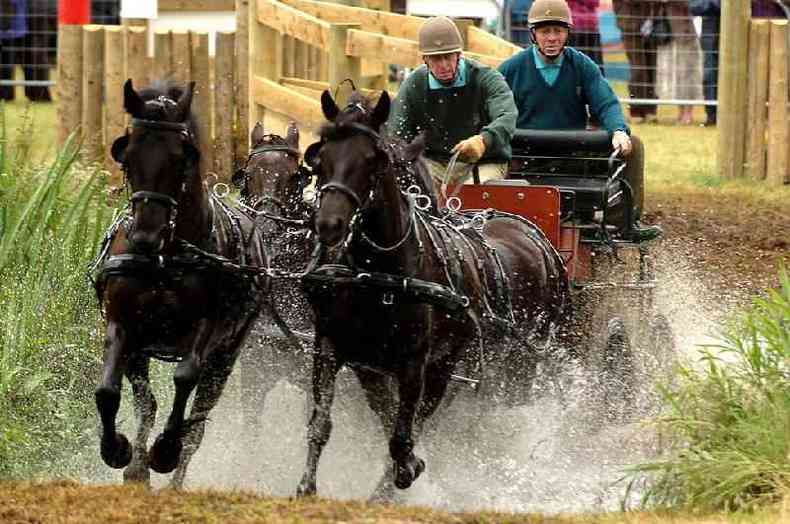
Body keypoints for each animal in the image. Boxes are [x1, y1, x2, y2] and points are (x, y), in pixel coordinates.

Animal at [93, 80, 270, 490]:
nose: (145, 236)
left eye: (180, 159)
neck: (165, 260)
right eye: (128, 156)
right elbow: (112, 393)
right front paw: (120, 452)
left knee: (198, 419)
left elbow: (184, 379)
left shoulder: (208, 329)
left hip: (228, 353)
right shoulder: (124, 325)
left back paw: (174, 474)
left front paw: (163, 451)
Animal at [296, 92, 568, 498]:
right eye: (320, 157)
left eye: (373, 160)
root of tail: (531, 233)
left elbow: (402, 434)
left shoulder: (415, 362)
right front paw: (306, 486)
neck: (379, 274)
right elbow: (325, 423)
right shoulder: (337, 350)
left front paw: (406, 472)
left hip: (493, 364)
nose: (328, 224)